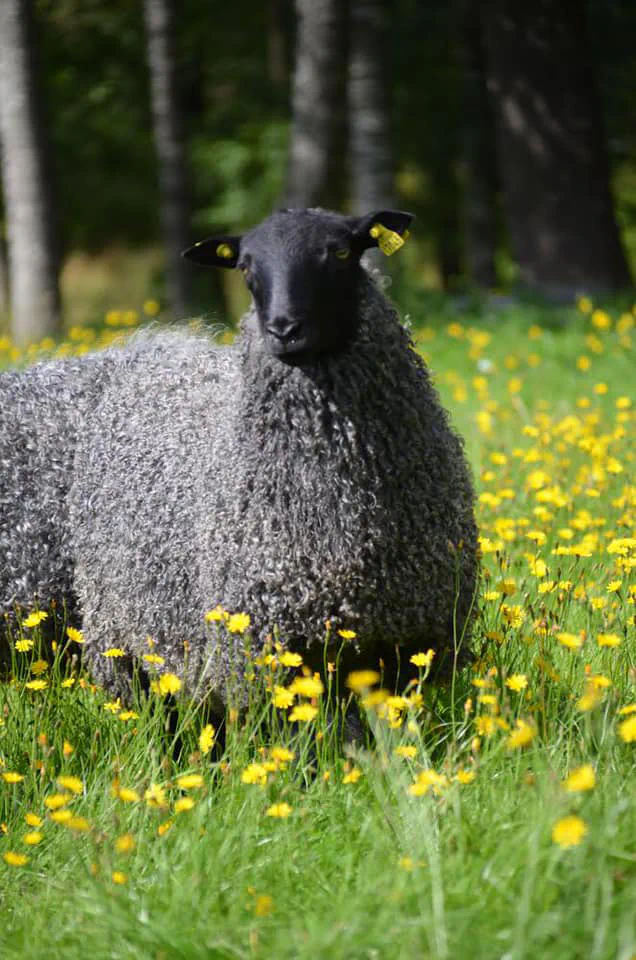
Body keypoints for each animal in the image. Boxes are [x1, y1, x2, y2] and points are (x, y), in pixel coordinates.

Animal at [1, 207, 479, 712]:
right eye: (245, 268)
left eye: (341, 252)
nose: (284, 329)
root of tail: (151, 348)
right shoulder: (261, 647)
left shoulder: (406, 646)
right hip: (121, 635)